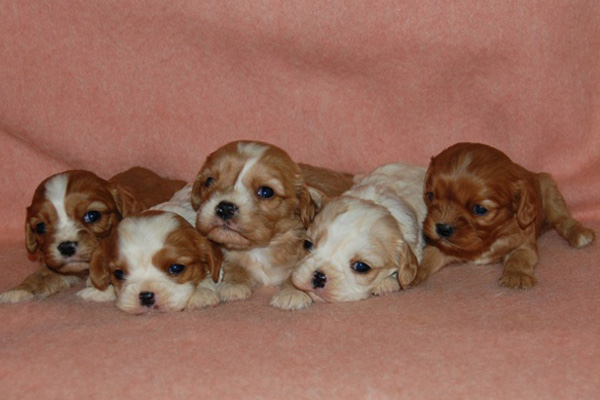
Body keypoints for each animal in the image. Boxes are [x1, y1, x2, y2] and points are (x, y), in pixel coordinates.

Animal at [0, 166, 185, 304]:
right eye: (40, 227)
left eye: (92, 215)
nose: (66, 247)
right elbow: (42, 274)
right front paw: (19, 290)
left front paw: (99, 291)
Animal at [190, 141, 354, 310]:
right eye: (209, 181)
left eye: (266, 192)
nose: (225, 208)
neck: (261, 249)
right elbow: (233, 264)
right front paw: (232, 284)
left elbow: (296, 273)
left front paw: (292, 293)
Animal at [412, 142, 596, 290]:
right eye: (430, 196)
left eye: (479, 209)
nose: (442, 228)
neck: (487, 242)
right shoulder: (440, 246)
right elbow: (426, 257)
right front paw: (412, 273)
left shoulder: (524, 243)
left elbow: (519, 258)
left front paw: (516, 276)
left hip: (549, 189)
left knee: (563, 219)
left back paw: (580, 234)